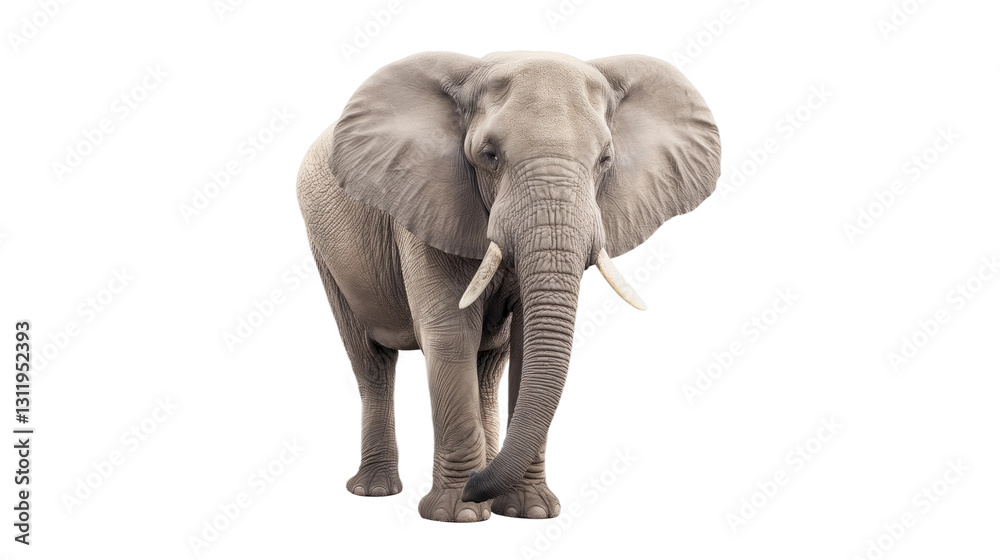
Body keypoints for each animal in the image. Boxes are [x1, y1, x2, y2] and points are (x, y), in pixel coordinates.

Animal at [296, 51, 720, 522]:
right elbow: (450, 335)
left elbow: (523, 343)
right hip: (326, 251)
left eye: (605, 160)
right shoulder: (426, 204)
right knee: (371, 363)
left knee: (487, 367)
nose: (474, 489)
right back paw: (374, 491)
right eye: (489, 155)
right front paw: (459, 515)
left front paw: (528, 511)